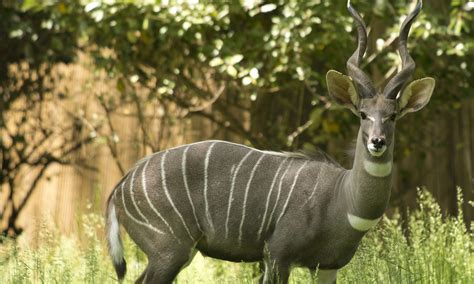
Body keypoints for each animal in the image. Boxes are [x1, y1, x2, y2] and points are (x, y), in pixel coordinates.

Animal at [103, 1, 434, 282]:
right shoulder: (277, 254)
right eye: (363, 114)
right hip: (170, 250)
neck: (342, 201)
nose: (377, 141)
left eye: (393, 115)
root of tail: (121, 185)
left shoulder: (328, 266)